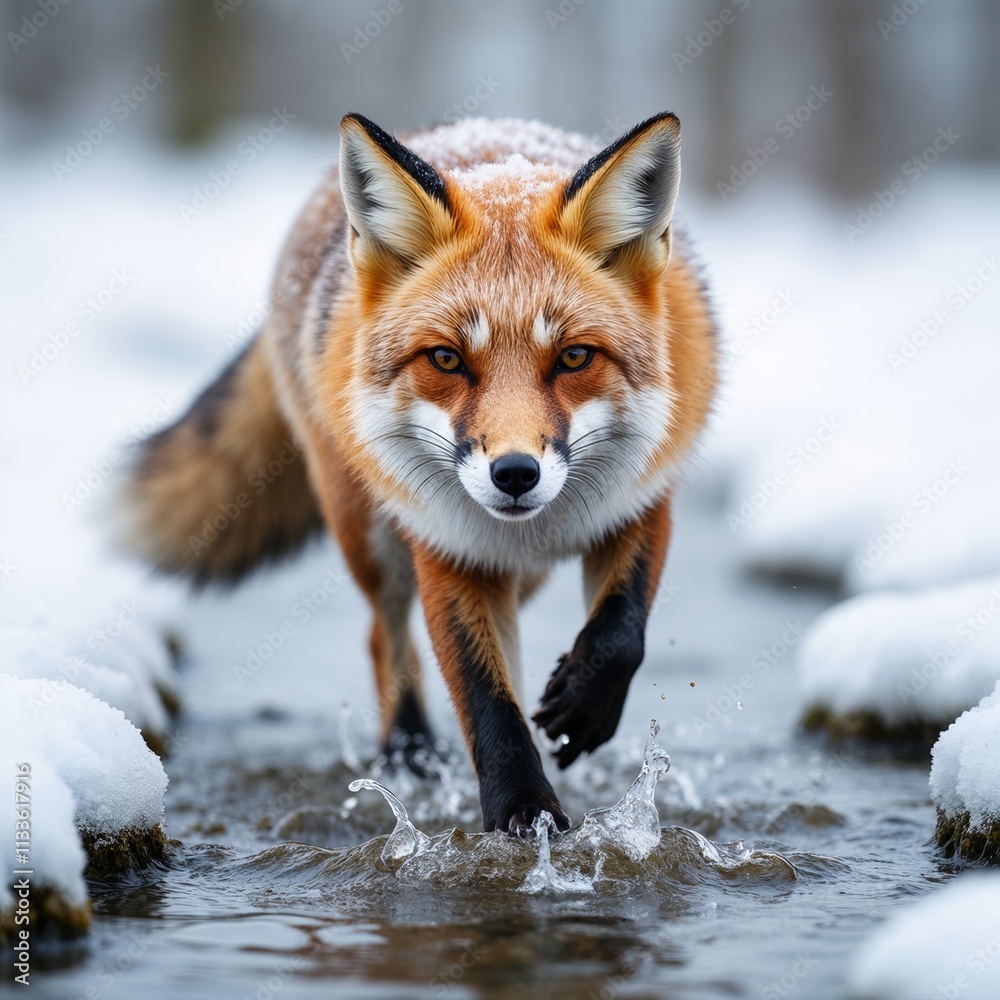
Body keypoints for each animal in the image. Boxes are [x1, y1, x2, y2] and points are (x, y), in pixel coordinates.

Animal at [122, 112, 717, 837]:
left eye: (574, 357)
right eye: (447, 359)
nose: (514, 473)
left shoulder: (642, 498)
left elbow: (620, 631)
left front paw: (584, 709)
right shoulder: (446, 546)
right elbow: (488, 702)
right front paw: (524, 813)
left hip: (515, 575)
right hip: (370, 534)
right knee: (384, 635)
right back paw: (408, 752)